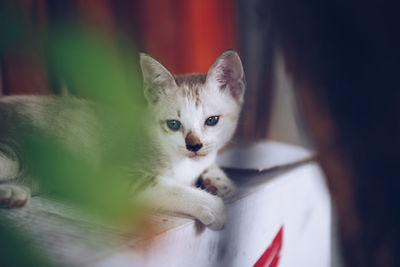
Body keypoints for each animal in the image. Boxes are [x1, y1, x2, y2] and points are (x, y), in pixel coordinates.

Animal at [0, 51, 245, 231]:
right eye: (174, 124)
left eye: (212, 120)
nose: (194, 146)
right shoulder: (113, 177)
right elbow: (167, 187)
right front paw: (212, 205)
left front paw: (220, 182)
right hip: (12, 156)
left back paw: (12, 194)